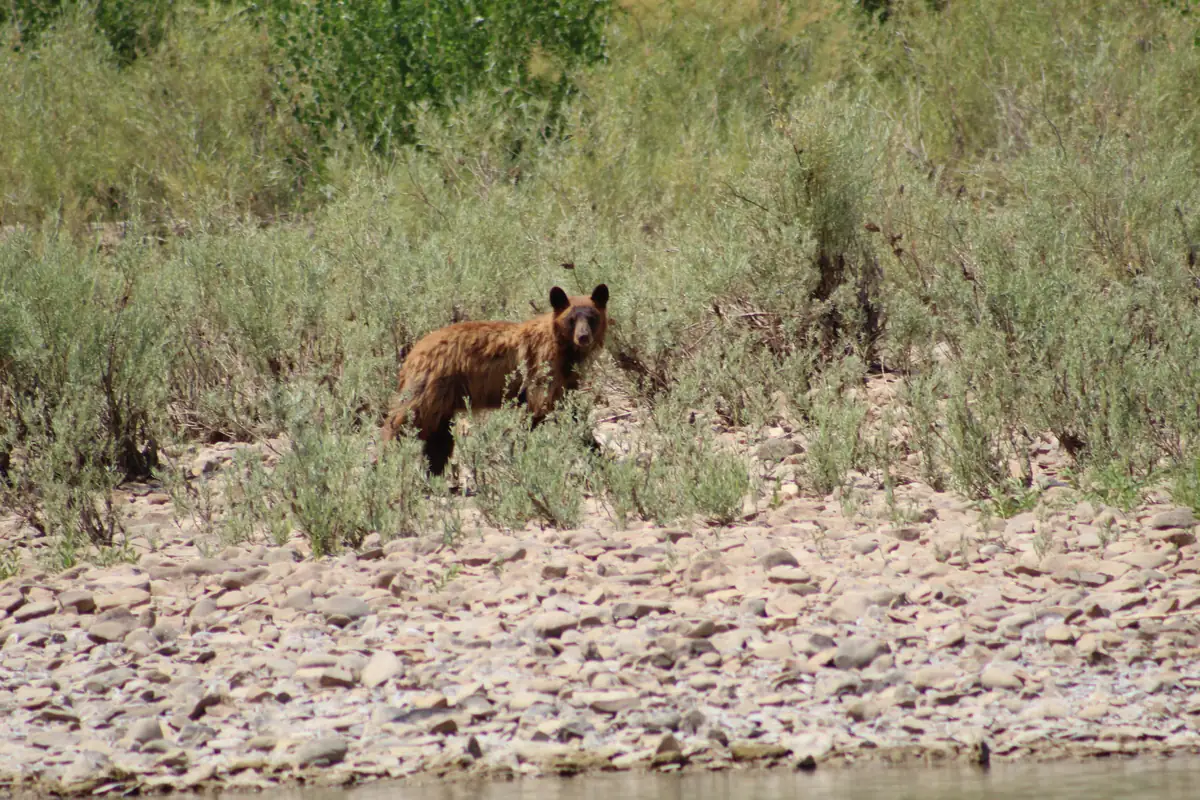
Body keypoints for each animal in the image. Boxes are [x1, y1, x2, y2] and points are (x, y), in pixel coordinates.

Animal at [381, 284, 610, 476]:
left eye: (592, 317)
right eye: (571, 319)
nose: (583, 337)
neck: (565, 349)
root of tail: (412, 354)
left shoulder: (567, 379)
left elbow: (570, 410)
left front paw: (598, 453)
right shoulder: (542, 365)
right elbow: (541, 406)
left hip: (443, 400)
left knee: (439, 438)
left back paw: (434, 476)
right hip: (431, 385)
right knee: (405, 419)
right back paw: (383, 462)